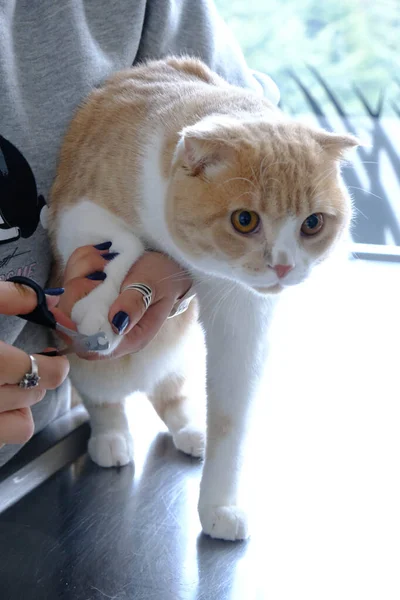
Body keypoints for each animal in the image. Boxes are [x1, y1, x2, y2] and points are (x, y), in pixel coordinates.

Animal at [48, 56, 358, 540]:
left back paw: (192, 429)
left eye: (312, 224)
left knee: (169, 390)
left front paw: (219, 505)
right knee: (105, 398)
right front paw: (98, 307)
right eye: (245, 220)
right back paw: (112, 437)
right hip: (92, 369)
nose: (284, 266)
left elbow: (231, 420)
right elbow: (119, 243)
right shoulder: (74, 207)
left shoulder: (243, 317)